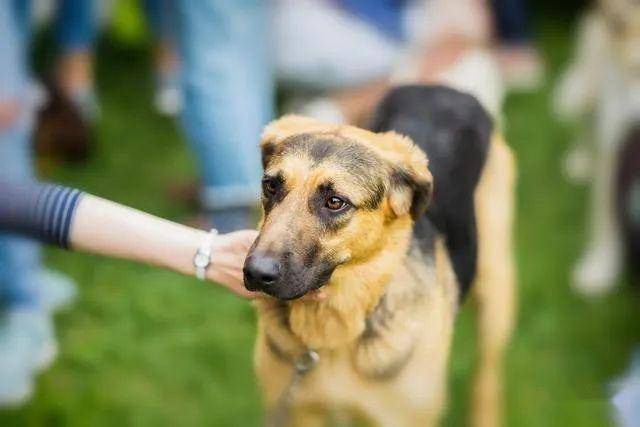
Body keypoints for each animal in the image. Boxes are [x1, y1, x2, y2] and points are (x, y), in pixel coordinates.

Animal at [242, 85, 516, 426]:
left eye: (335, 202)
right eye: (271, 186)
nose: (256, 273)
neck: (335, 334)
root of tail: (443, 88)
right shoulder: (297, 411)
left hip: (495, 292)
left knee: (487, 375)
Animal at [552, 0, 640, 296]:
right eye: (636, 71)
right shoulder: (613, 138)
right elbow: (604, 215)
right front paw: (600, 269)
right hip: (586, 90)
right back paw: (581, 162)